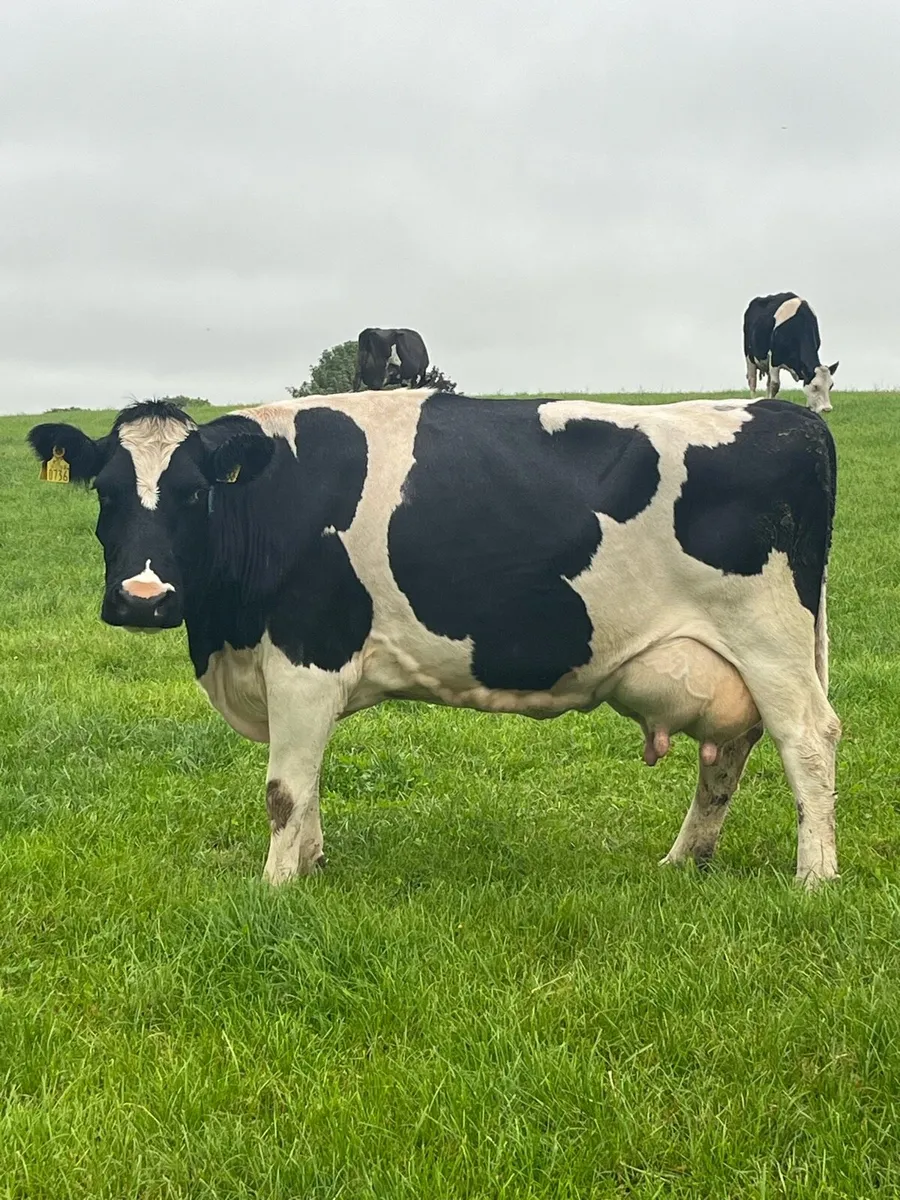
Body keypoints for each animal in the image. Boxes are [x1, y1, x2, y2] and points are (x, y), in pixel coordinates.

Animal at [28, 390, 840, 888]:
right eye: (106, 492)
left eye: (194, 492)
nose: (144, 599)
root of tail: (784, 414)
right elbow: (309, 780)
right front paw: (311, 866)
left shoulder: (306, 654)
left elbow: (284, 789)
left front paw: (275, 884)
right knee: (731, 751)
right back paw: (684, 860)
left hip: (769, 637)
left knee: (807, 738)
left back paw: (815, 877)